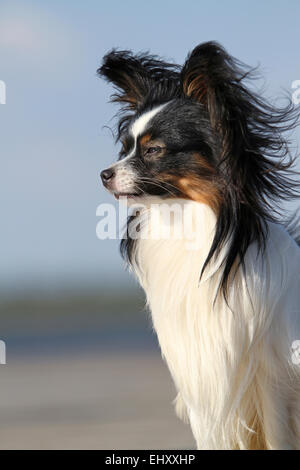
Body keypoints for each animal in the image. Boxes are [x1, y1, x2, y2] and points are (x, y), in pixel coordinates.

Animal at [98, 42, 300, 450]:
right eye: (125, 148)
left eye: (153, 150)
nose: (104, 174)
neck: (188, 224)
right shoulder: (204, 387)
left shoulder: (273, 381)